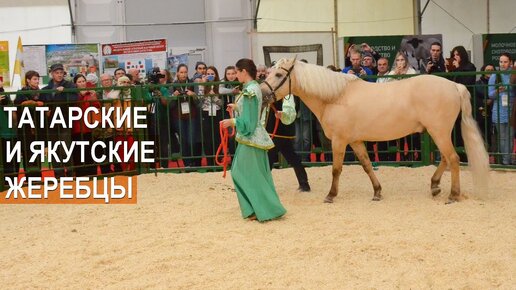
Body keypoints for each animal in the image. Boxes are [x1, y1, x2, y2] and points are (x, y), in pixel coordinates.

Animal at [260, 58, 490, 204]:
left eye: (279, 74)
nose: (262, 93)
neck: (336, 97)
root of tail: (454, 86)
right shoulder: (355, 141)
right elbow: (367, 165)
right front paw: (377, 192)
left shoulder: (339, 141)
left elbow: (336, 169)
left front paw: (331, 195)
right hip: (437, 133)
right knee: (445, 158)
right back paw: (434, 186)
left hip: (439, 132)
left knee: (453, 159)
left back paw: (453, 195)